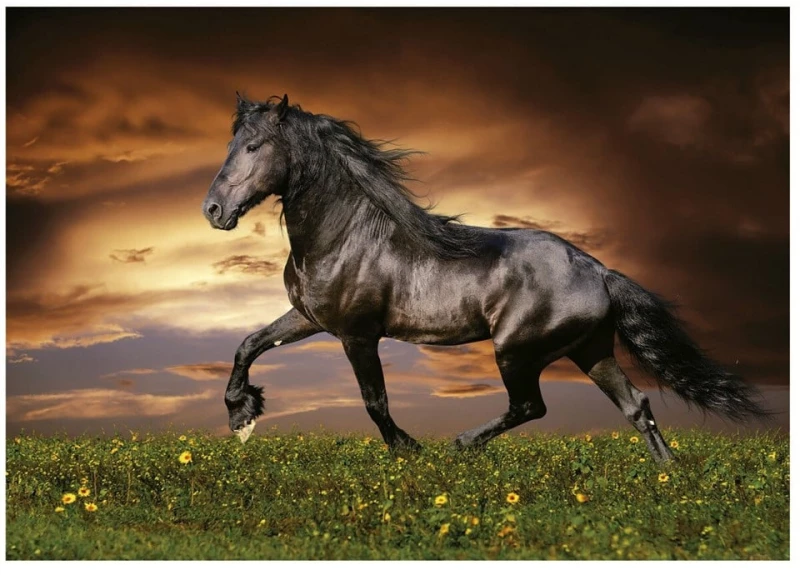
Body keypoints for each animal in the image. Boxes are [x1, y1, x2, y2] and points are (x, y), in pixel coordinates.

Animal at [202, 94, 767, 463]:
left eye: (253, 147)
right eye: (232, 144)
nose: (213, 210)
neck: (345, 235)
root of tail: (599, 270)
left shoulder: (357, 334)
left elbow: (374, 401)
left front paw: (410, 450)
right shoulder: (309, 317)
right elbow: (248, 344)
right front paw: (241, 415)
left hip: (516, 350)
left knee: (531, 406)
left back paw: (461, 444)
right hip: (591, 350)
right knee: (636, 405)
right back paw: (667, 476)